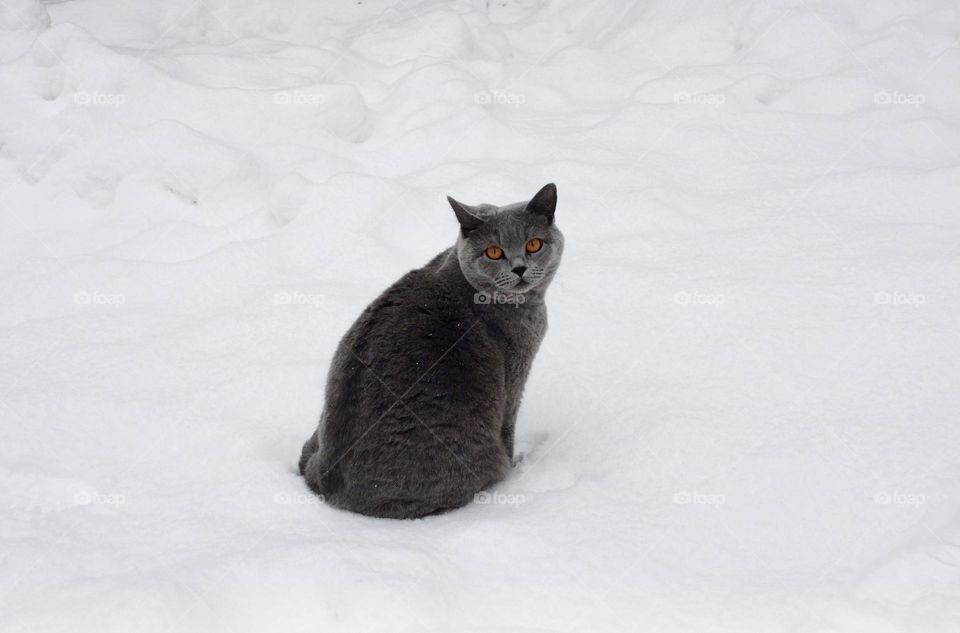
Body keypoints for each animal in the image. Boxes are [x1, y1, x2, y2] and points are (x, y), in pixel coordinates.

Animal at [296, 183, 560, 520]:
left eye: (534, 244)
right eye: (494, 252)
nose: (520, 268)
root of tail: (329, 488)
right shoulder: (515, 377)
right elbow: (508, 429)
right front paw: (517, 466)